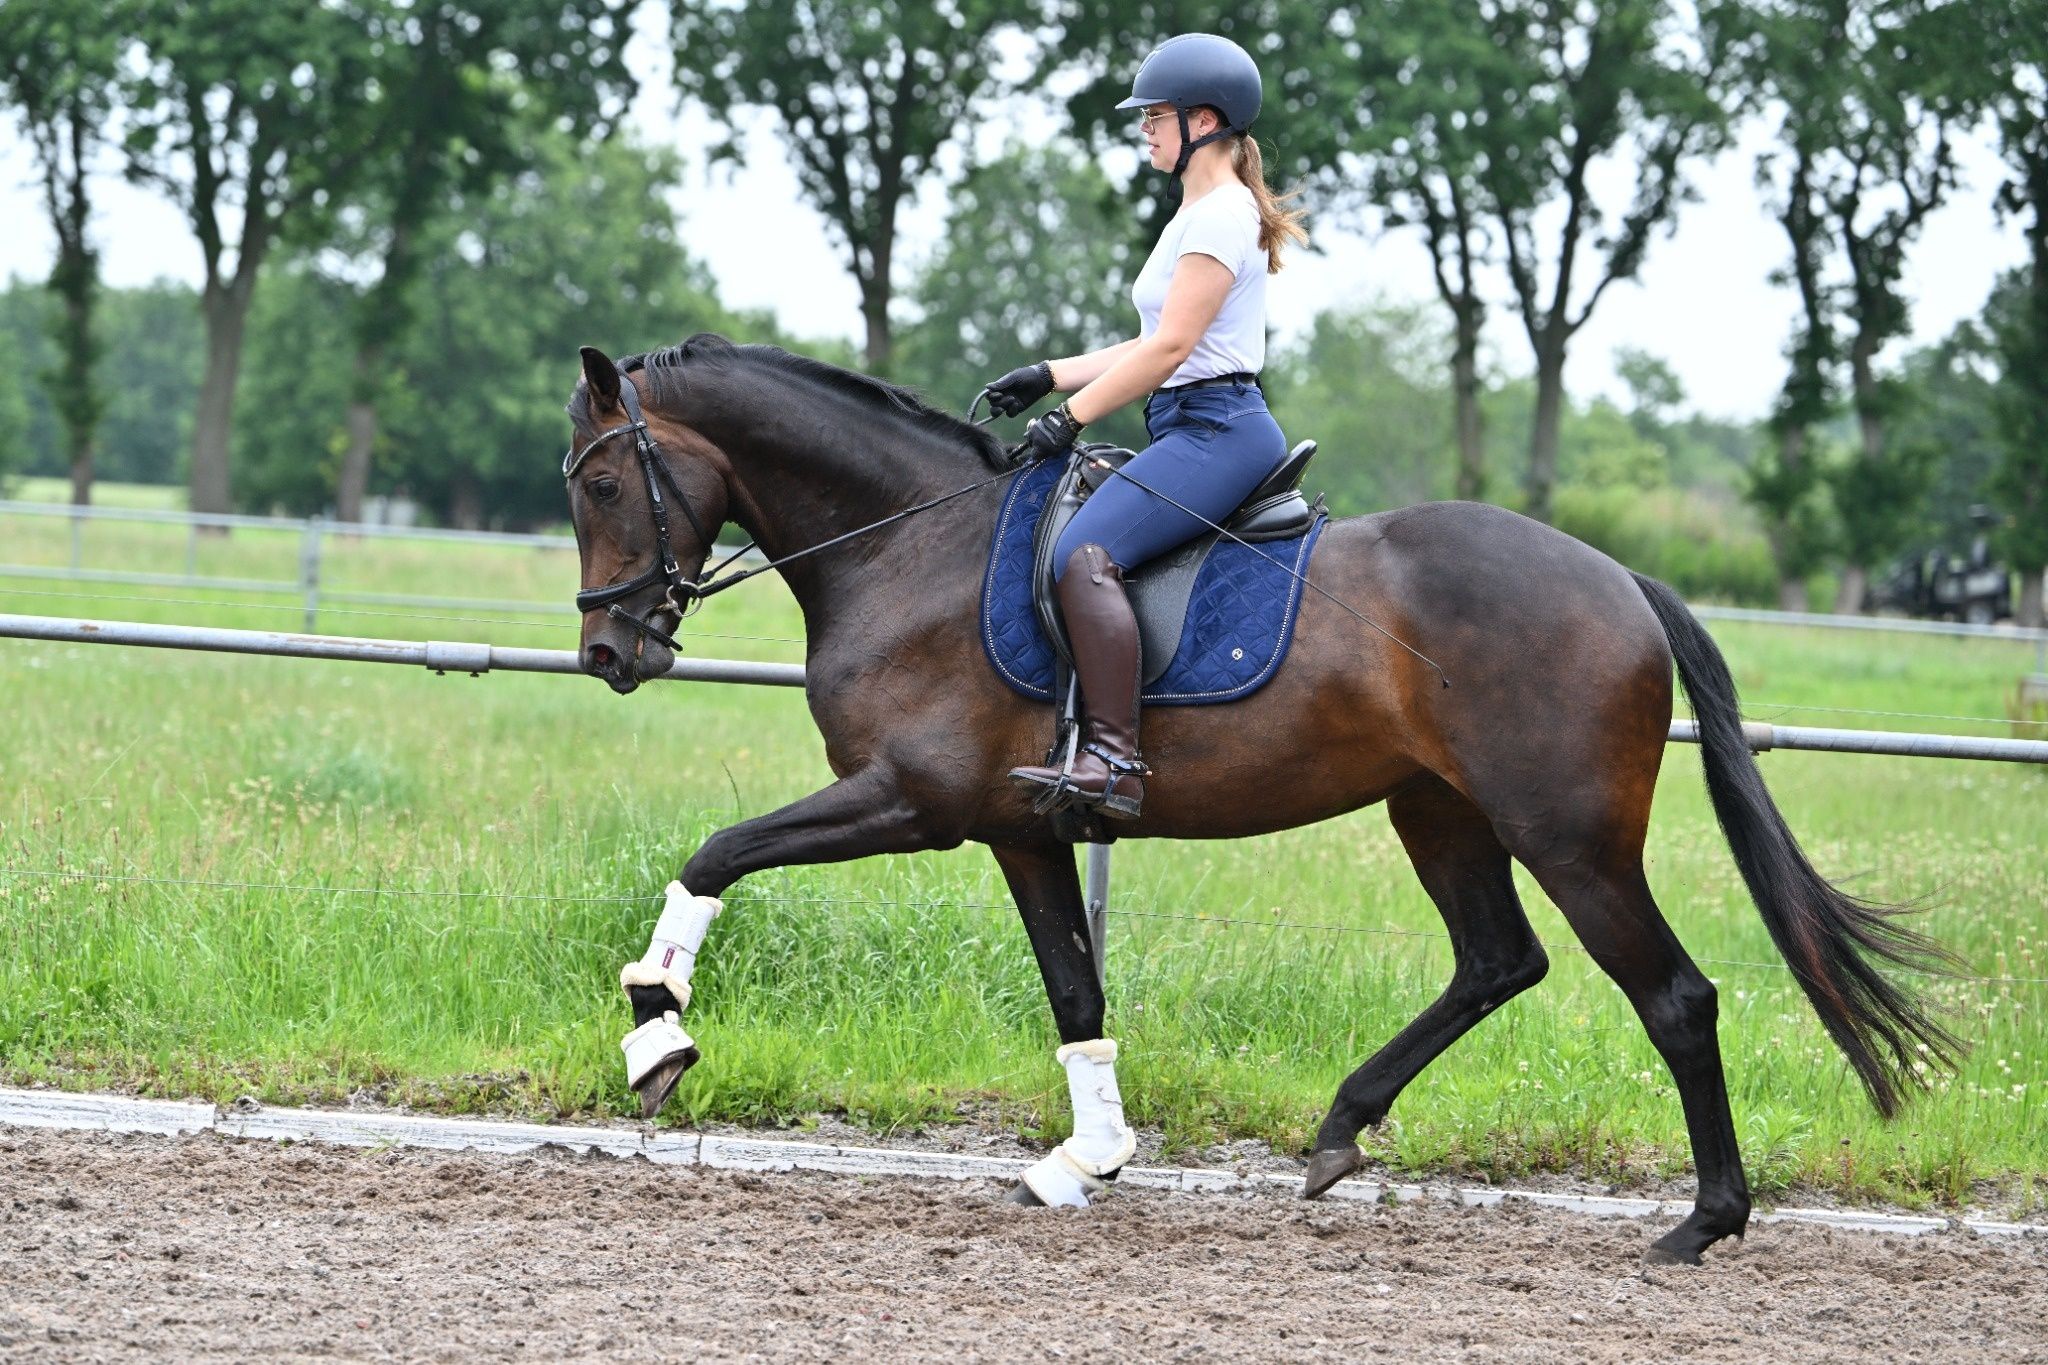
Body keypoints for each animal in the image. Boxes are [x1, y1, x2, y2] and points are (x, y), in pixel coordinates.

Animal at [562, 335, 1958, 1265]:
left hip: (1569, 838)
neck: (910, 545)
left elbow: (716, 853)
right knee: (1495, 963)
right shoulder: (1019, 831)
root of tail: (1619, 579)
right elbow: (1075, 993)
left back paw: (1702, 1223)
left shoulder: (909, 800)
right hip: (1437, 813)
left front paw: (656, 1033)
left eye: (598, 482)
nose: (607, 653)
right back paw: (1339, 1130)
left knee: (1671, 997)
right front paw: (1085, 1160)